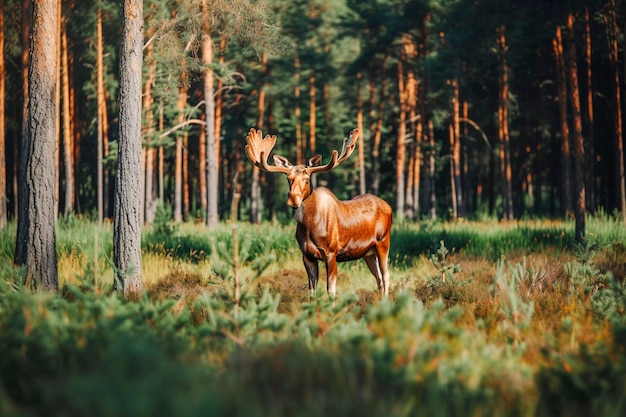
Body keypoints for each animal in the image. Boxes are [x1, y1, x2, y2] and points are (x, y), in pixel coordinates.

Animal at [244, 127, 390, 296]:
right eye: (288, 179)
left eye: (307, 179)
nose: (293, 199)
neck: (309, 226)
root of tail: (389, 206)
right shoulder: (307, 255)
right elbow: (312, 292)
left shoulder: (331, 253)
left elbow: (330, 290)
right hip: (368, 252)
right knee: (378, 278)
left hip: (383, 242)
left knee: (386, 276)